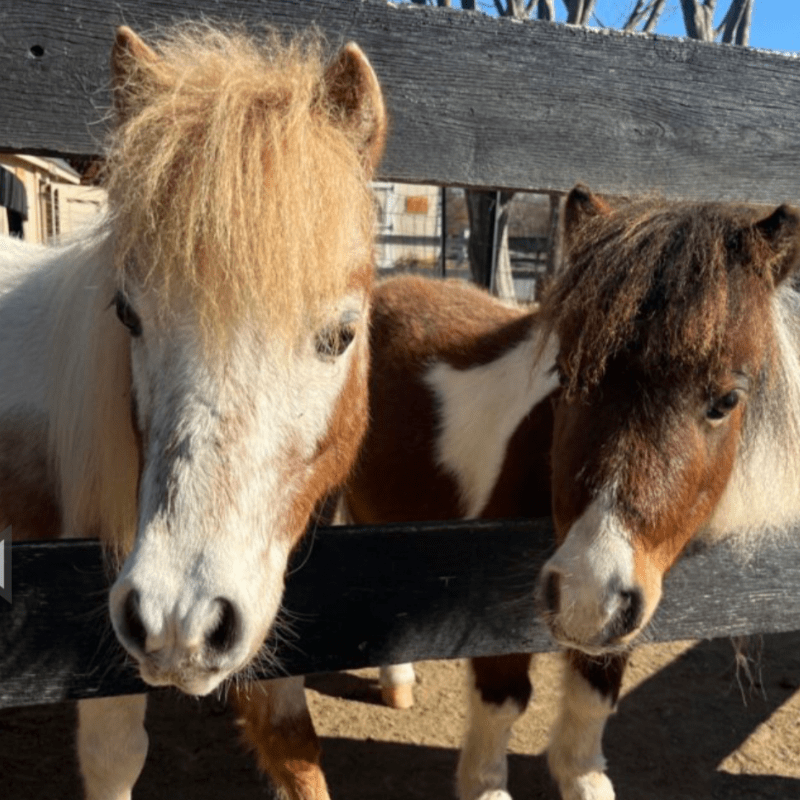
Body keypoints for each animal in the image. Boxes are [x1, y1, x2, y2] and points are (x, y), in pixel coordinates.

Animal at [334, 185, 800, 800]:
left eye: (726, 400)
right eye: (567, 374)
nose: (587, 596)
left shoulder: (622, 616)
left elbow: (590, 707)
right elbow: (503, 704)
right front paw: (483, 783)